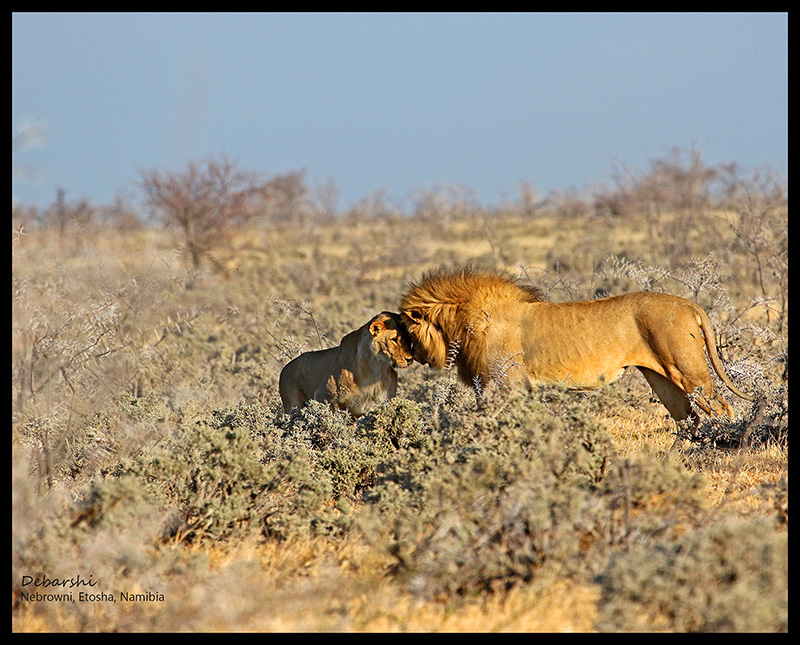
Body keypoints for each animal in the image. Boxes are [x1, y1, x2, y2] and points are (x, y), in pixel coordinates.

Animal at [280, 310, 412, 418]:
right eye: (394, 340)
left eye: (409, 339)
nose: (410, 359)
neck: (377, 367)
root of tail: (285, 368)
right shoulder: (323, 397)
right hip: (293, 406)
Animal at [404, 268, 752, 428]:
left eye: (406, 330)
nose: (410, 357)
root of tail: (691, 304)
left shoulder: (505, 386)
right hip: (662, 377)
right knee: (686, 418)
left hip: (688, 371)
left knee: (722, 408)